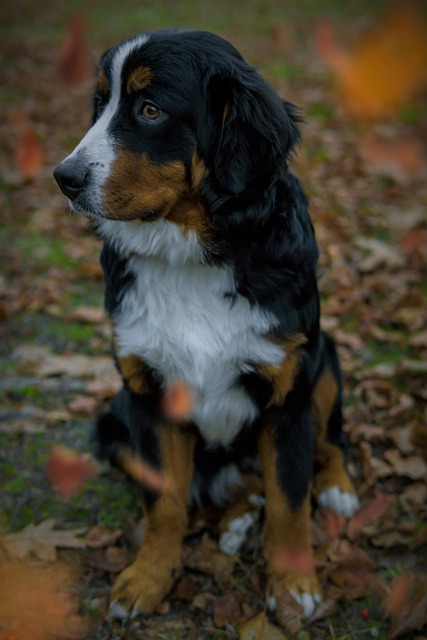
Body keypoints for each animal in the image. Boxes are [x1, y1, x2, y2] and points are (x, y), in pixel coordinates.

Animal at [54, 28, 362, 620]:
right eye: (100, 104)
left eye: (150, 109)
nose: (64, 178)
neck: (189, 257)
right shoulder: (148, 394)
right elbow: (165, 501)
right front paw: (148, 578)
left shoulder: (288, 390)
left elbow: (290, 499)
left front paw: (293, 584)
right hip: (112, 423)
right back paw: (237, 516)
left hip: (324, 360)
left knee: (330, 443)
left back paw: (335, 489)